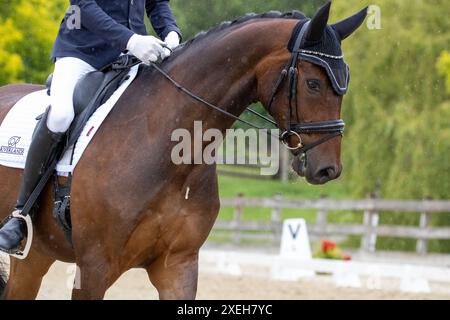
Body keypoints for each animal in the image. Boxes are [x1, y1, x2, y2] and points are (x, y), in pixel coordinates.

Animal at [0, 2, 366, 298]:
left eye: (345, 82)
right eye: (313, 84)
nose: (328, 169)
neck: (171, 152)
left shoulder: (178, 266)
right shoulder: (93, 268)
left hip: (37, 255)